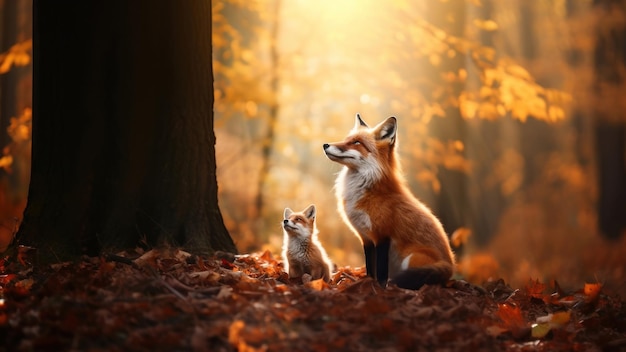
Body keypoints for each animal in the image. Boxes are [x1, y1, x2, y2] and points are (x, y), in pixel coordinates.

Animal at [324, 113, 450, 288]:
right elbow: (371, 268)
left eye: (357, 142)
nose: (325, 145)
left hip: (411, 258)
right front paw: (368, 283)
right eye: (346, 139)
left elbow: (381, 271)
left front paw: (380, 288)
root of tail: (451, 267)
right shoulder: (366, 238)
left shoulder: (382, 235)